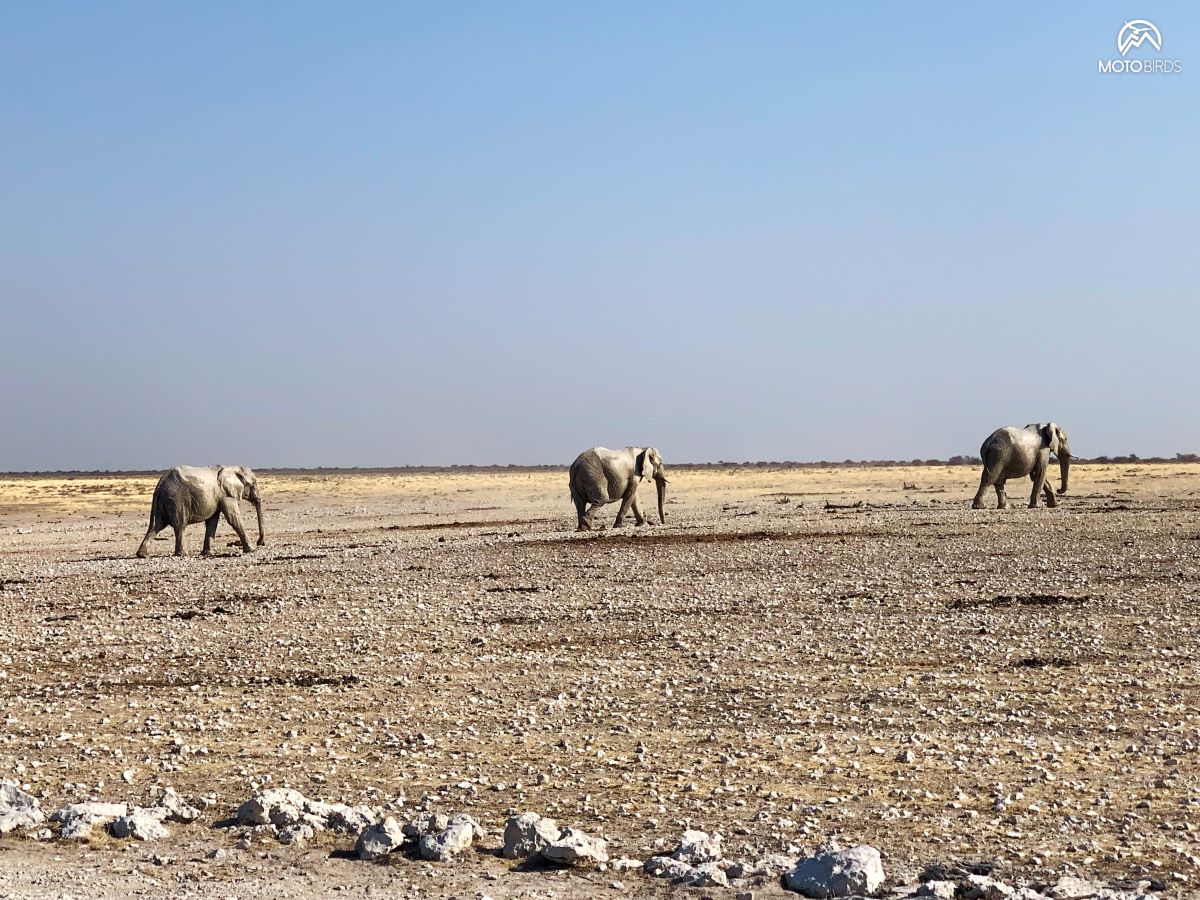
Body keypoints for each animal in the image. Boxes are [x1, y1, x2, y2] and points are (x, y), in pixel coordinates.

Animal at [136, 468, 267, 561]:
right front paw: (252, 550)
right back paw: (183, 554)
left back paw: (143, 555)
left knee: (156, 525)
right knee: (179, 526)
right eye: (254, 483)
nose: (261, 542)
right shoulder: (225, 494)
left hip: (164, 501)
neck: (233, 468)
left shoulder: (217, 498)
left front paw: (207, 553)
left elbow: (212, 522)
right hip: (176, 500)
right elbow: (233, 518)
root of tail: (159, 485)